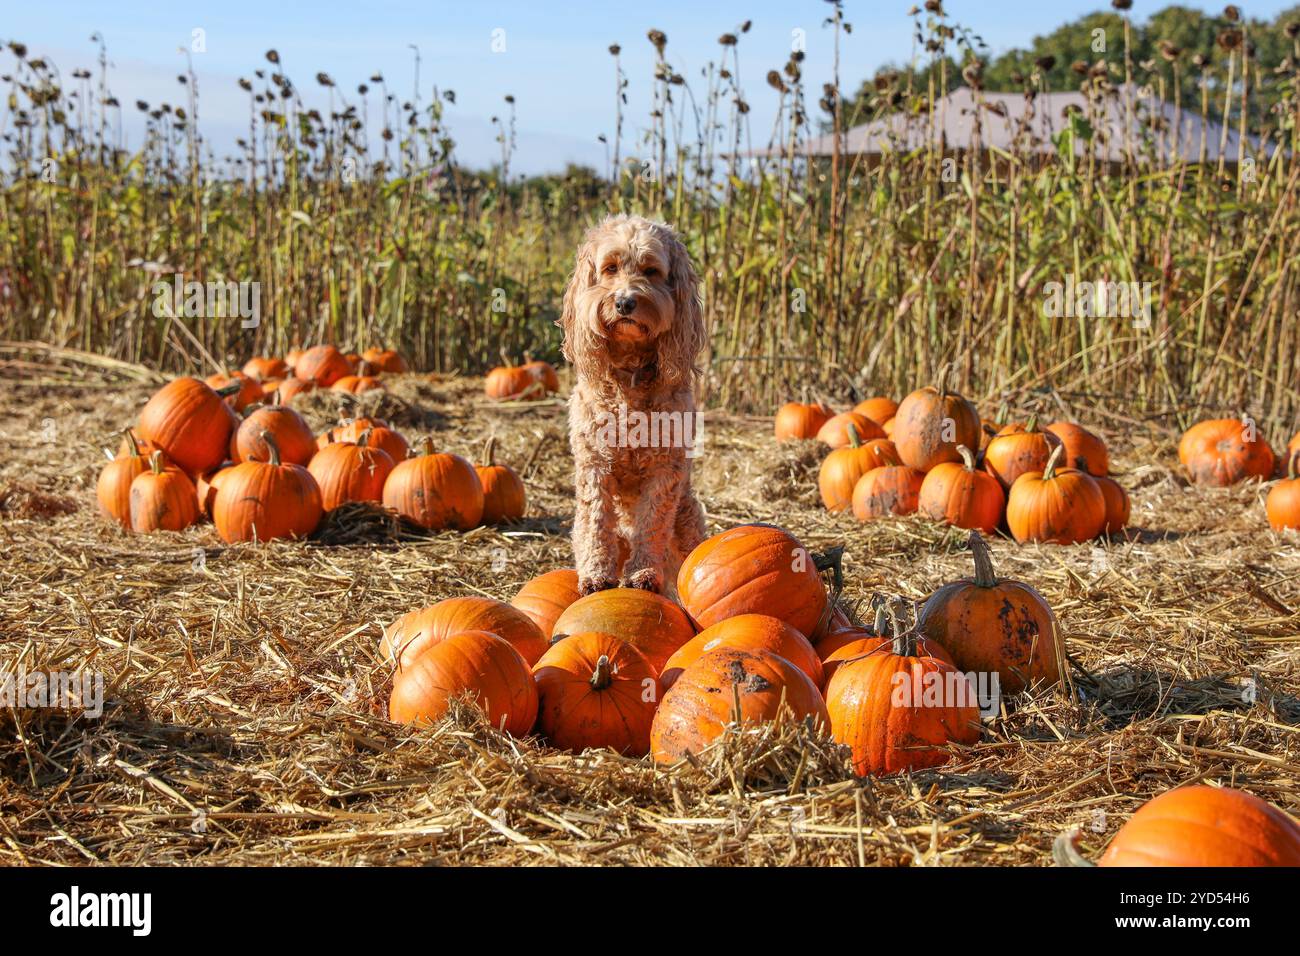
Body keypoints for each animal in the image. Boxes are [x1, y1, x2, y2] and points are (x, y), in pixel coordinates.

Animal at [553, 214, 707, 598]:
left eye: (651, 270)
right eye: (610, 268)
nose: (624, 302)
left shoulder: (665, 469)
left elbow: (652, 523)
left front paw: (643, 573)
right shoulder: (594, 464)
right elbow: (595, 521)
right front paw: (596, 574)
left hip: (688, 516)